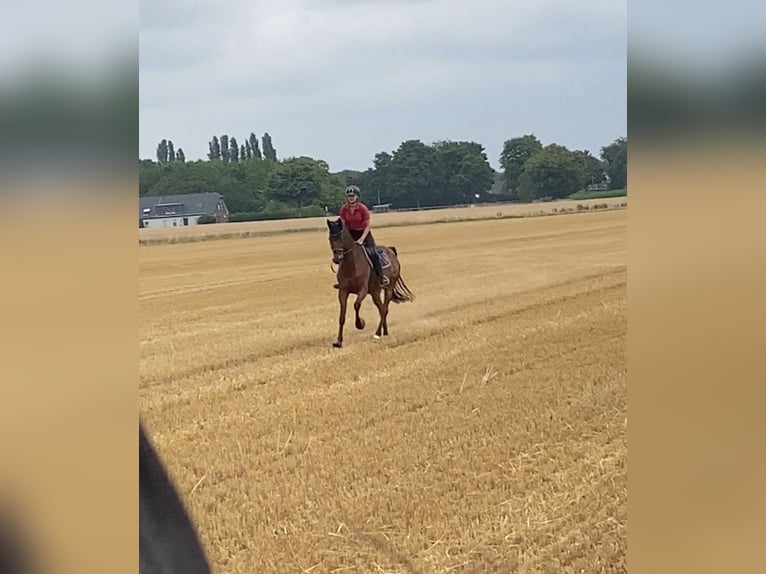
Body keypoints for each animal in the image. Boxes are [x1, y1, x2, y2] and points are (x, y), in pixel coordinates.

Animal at [327, 218, 414, 348]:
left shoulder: (362, 290)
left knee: (384, 309)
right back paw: (385, 332)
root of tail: (391, 251)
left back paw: (377, 334)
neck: (352, 264)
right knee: (381, 309)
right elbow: (342, 316)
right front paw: (338, 341)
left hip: (387, 289)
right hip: (375, 292)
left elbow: (356, 305)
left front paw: (360, 324)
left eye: (341, 237)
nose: (337, 259)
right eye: (330, 238)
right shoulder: (343, 291)